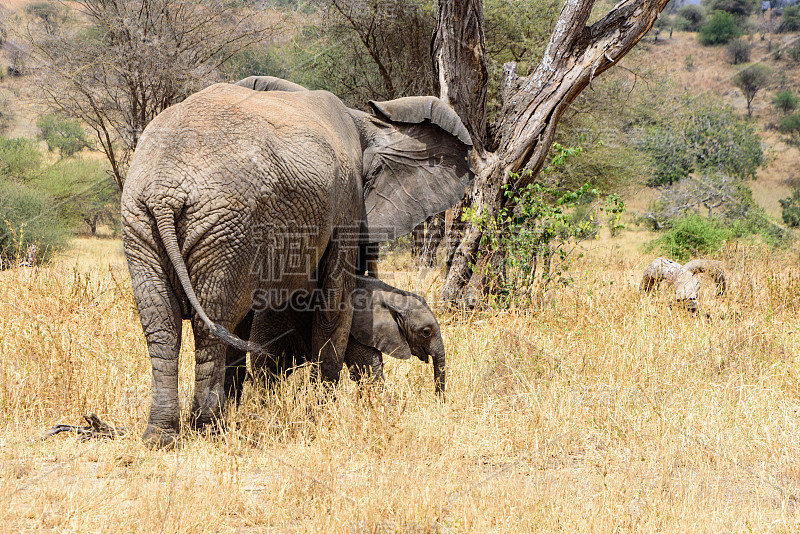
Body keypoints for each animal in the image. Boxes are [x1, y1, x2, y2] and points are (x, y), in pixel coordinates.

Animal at [247, 278, 446, 396]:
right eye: (426, 332)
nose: (437, 401)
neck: (391, 294)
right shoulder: (354, 328)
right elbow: (367, 372)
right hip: (268, 326)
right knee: (267, 371)